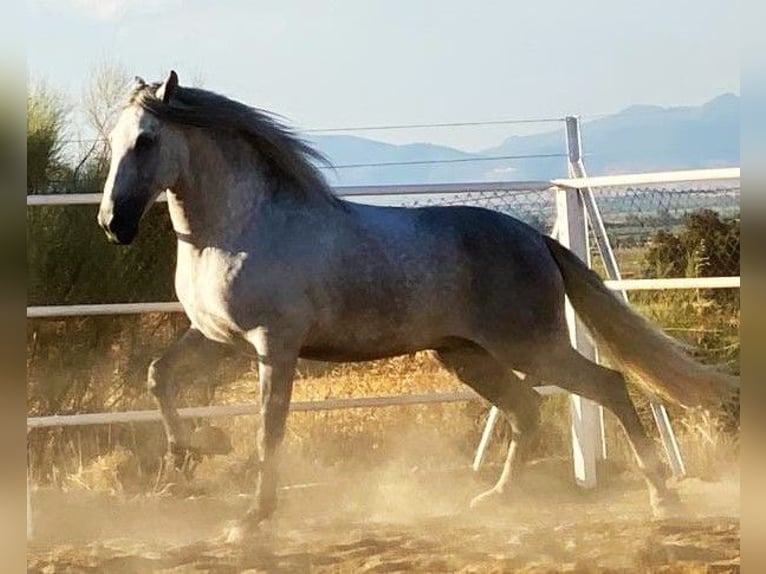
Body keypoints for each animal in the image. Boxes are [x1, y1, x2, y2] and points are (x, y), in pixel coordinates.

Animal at [97, 71, 736, 540]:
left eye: (147, 140)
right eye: (111, 142)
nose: (112, 224)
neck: (239, 228)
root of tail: (536, 239)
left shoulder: (273, 346)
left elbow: (267, 431)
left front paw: (250, 518)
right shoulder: (217, 337)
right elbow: (159, 377)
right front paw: (188, 461)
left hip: (531, 346)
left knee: (606, 385)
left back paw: (662, 498)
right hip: (466, 354)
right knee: (527, 409)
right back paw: (494, 499)